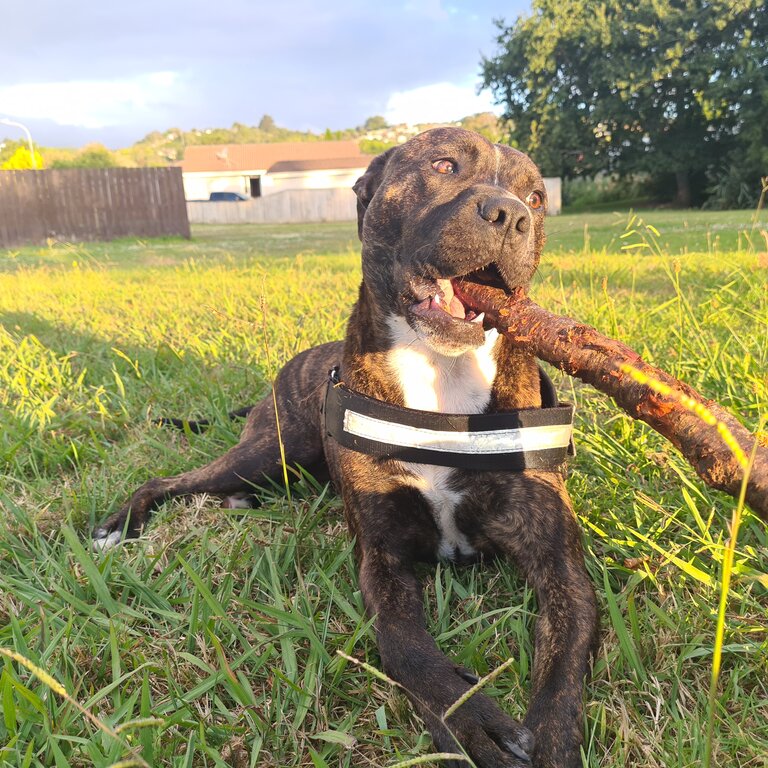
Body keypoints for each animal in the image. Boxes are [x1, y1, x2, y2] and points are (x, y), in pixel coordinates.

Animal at [94, 127, 600, 768]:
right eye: (444, 164)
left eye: (537, 197)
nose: (510, 215)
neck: (441, 376)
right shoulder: (380, 560)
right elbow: (405, 645)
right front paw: (467, 721)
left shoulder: (559, 563)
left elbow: (564, 662)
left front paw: (550, 739)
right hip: (267, 453)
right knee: (167, 481)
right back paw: (119, 526)